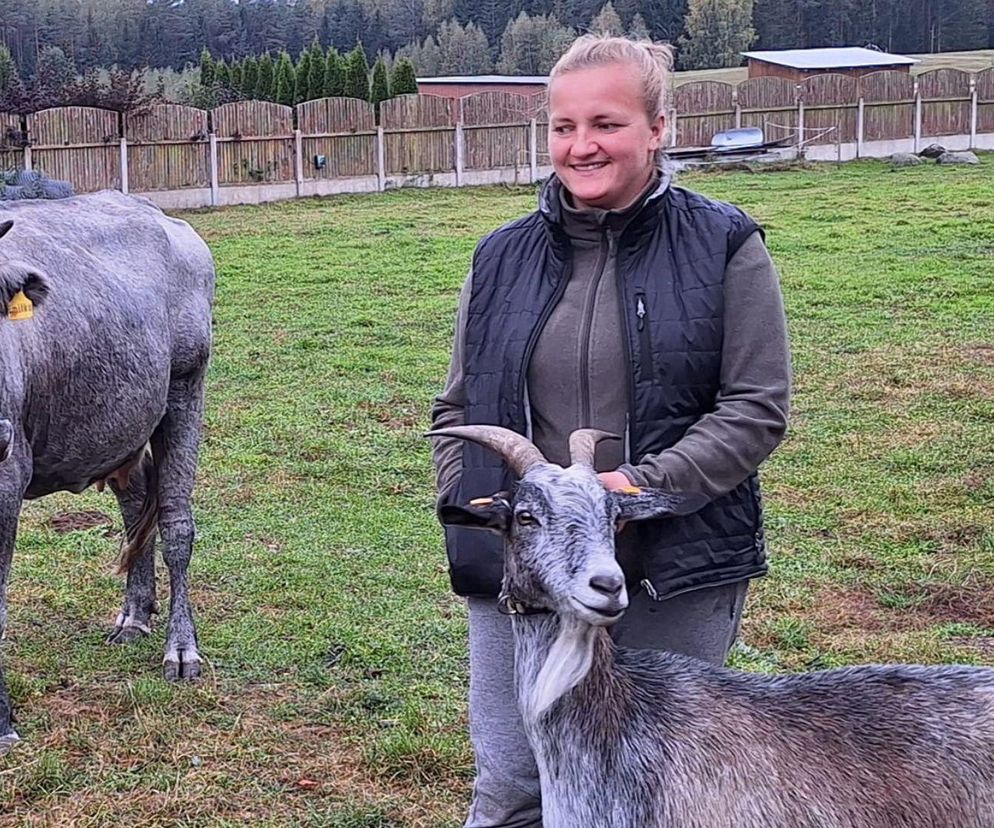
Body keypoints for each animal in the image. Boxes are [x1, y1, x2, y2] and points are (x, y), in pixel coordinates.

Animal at [0, 191, 215, 752]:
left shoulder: (8, 473)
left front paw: (2, 719)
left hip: (185, 386)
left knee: (176, 524)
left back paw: (181, 648)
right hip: (121, 428)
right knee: (138, 507)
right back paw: (135, 615)